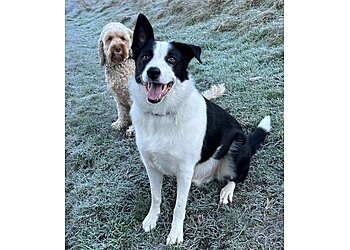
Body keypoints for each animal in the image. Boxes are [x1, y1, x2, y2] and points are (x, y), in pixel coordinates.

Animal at [128, 13, 270, 244]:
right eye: (146, 56)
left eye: (172, 60)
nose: (153, 72)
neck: (162, 115)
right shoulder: (151, 165)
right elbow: (156, 197)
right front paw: (152, 218)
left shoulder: (185, 170)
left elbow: (179, 207)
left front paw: (175, 233)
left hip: (237, 145)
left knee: (237, 177)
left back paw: (227, 190)